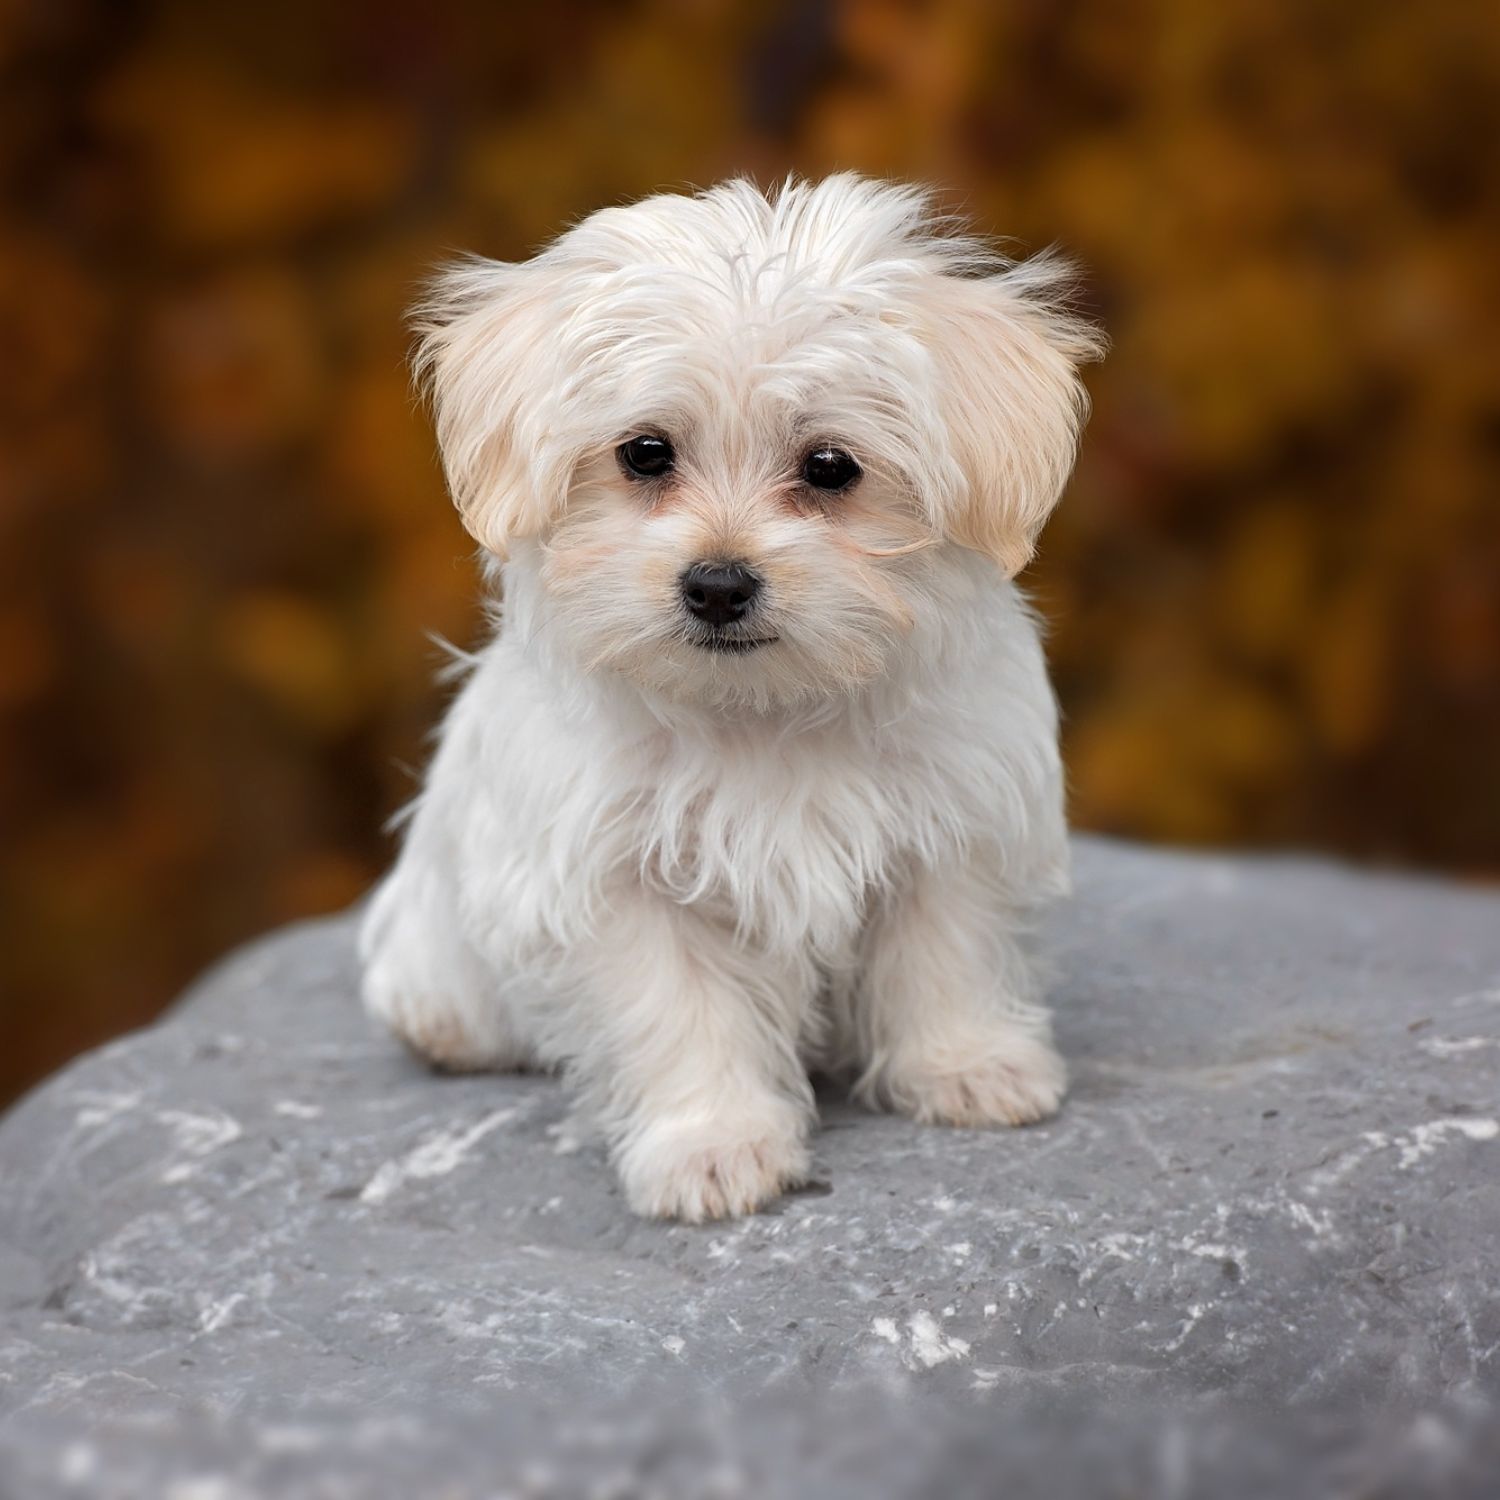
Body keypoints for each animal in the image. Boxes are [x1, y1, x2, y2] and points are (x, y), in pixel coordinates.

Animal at [360, 175, 1104, 1224]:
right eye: (644, 453)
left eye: (830, 467)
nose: (717, 584)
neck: (762, 711)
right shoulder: (614, 878)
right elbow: (679, 1010)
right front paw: (711, 1144)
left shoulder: (951, 818)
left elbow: (944, 953)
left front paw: (967, 1065)